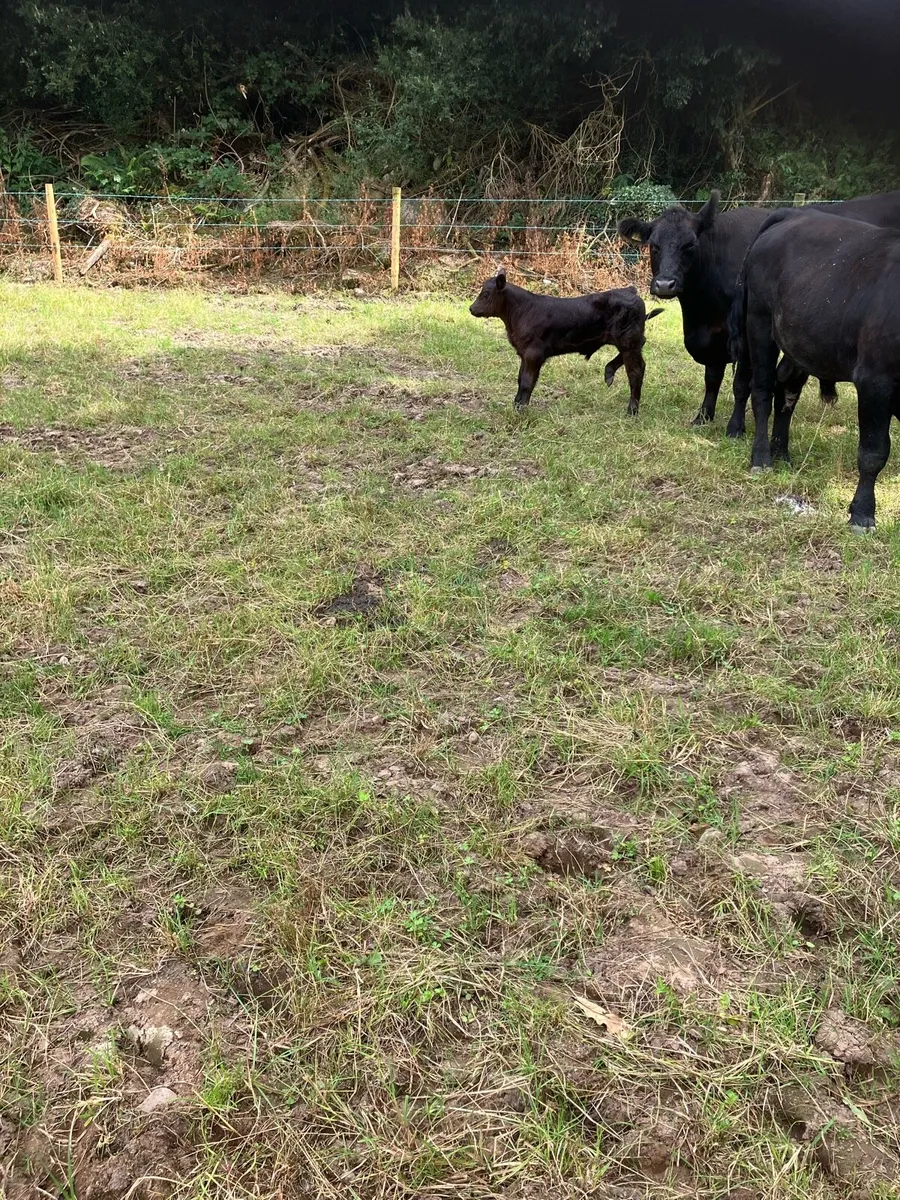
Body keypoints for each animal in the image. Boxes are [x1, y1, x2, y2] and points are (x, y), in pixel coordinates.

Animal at [469, 269, 663, 415]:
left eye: (486, 294)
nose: (471, 309)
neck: (520, 313)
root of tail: (630, 291)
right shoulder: (524, 353)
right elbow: (519, 379)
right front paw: (515, 405)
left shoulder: (534, 354)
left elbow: (526, 382)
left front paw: (521, 410)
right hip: (629, 340)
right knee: (639, 350)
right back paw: (609, 373)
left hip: (628, 340)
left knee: (636, 371)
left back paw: (632, 410)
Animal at [617, 190, 900, 433]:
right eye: (654, 246)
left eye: (690, 245)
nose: (665, 284)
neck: (701, 311)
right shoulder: (715, 336)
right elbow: (712, 378)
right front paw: (703, 416)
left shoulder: (745, 331)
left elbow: (741, 382)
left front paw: (735, 427)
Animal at [730, 208, 900, 529]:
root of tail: (793, 213)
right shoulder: (875, 380)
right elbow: (873, 451)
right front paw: (862, 513)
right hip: (758, 321)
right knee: (761, 390)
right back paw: (761, 458)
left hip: (801, 341)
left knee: (785, 391)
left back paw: (781, 453)